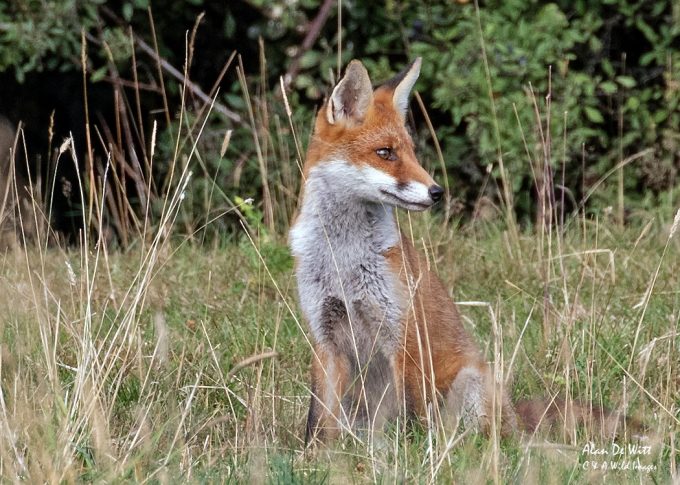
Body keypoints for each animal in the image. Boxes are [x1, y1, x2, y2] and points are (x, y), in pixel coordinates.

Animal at [289, 58, 637, 444]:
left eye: (411, 152)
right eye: (385, 153)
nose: (437, 192)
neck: (344, 256)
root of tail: (513, 415)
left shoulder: (404, 334)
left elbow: (411, 413)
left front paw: (412, 452)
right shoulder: (325, 336)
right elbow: (317, 418)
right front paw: (315, 453)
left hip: (470, 382)